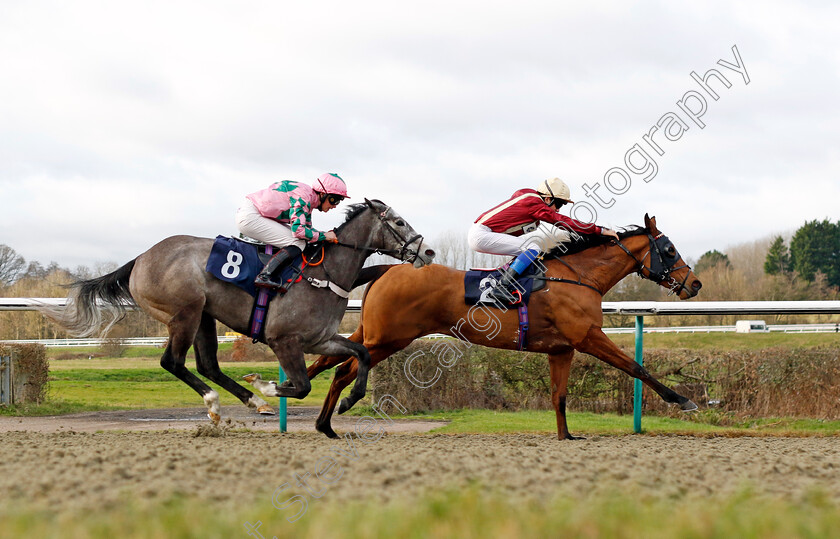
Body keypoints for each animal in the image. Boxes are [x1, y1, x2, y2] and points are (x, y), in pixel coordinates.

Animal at [41, 200, 434, 424]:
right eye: (399, 222)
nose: (427, 251)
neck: (325, 273)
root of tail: (140, 258)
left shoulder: (319, 340)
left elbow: (362, 353)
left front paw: (350, 399)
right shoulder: (283, 340)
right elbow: (301, 386)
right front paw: (267, 385)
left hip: (204, 316)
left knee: (207, 365)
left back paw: (252, 402)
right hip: (184, 313)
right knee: (173, 362)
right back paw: (219, 403)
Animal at [308, 213, 704, 440]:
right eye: (669, 249)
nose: (695, 284)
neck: (578, 277)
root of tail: (390, 267)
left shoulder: (562, 349)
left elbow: (559, 395)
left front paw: (566, 436)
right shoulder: (588, 337)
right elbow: (636, 367)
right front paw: (684, 400)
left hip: (373, 333)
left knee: (329, 363)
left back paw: (316, 415)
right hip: (389, 338)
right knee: (344, 369)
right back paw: (332, 414)